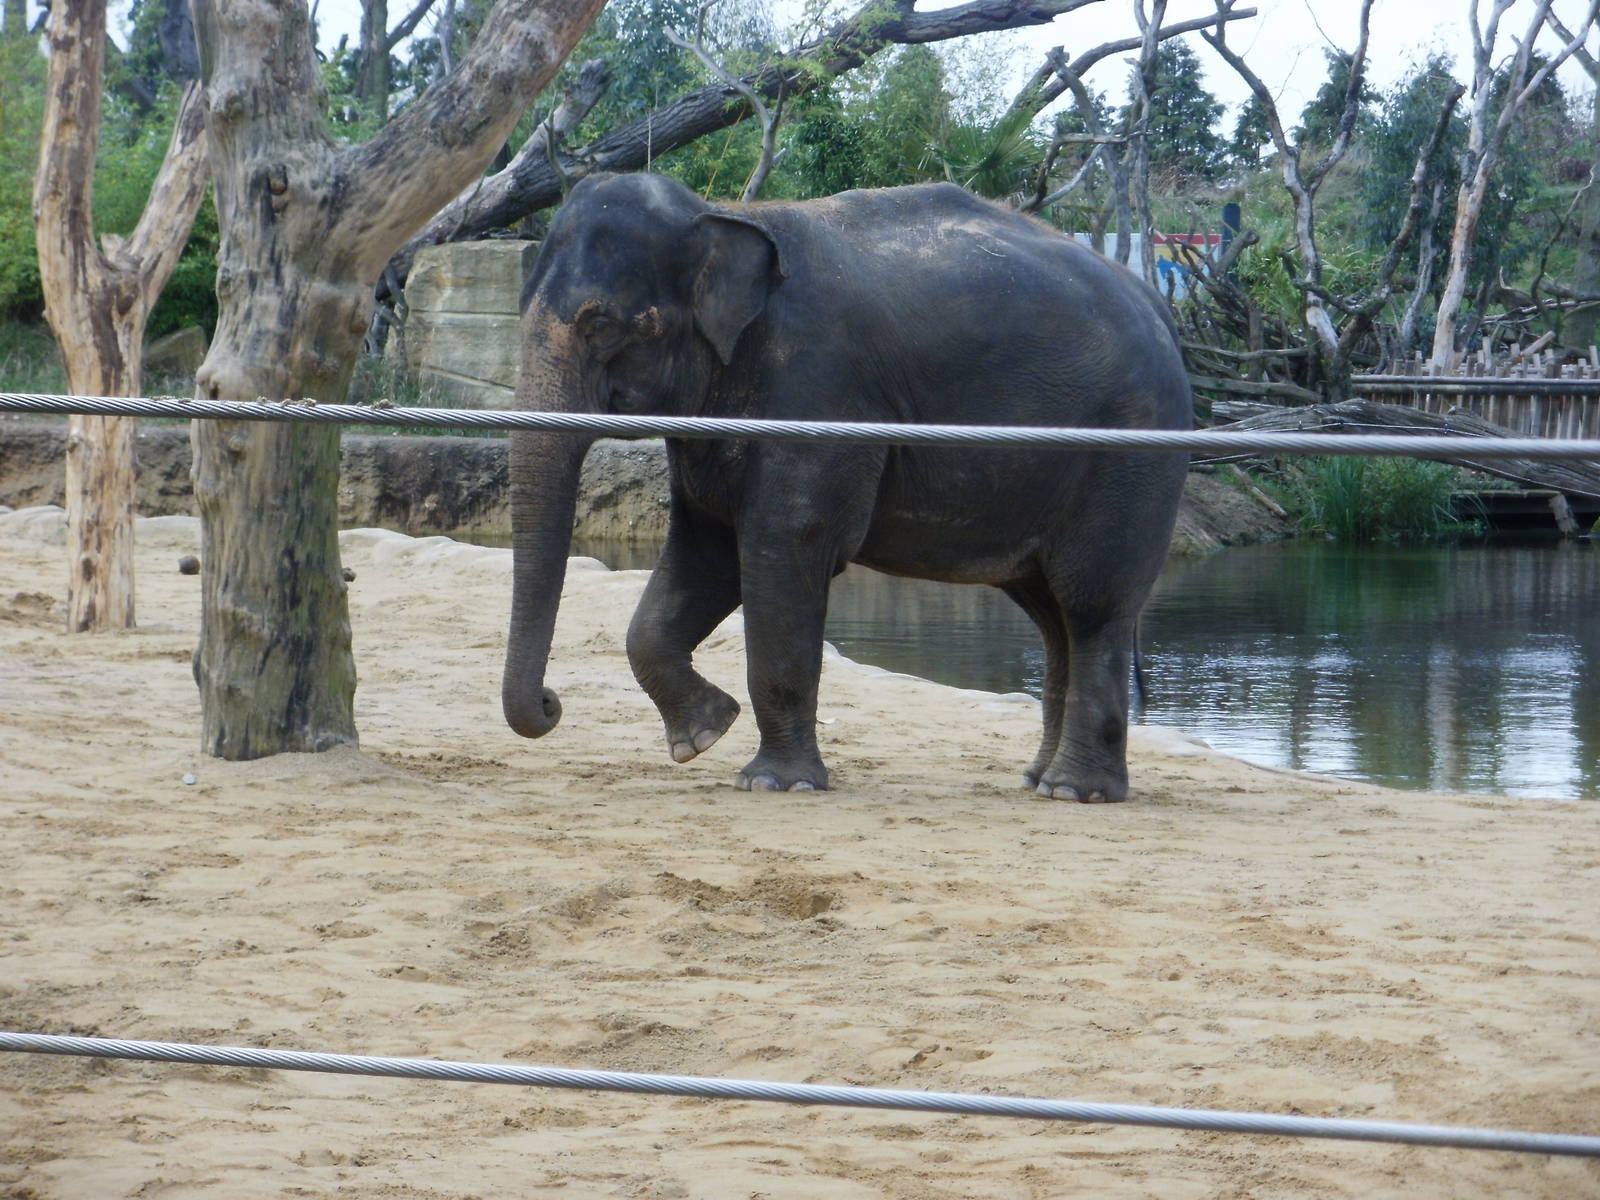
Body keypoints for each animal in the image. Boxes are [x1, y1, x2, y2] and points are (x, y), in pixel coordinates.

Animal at [502, 172, 1191, 802]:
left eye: (599, 325)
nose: (552, 701)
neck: (723, 213)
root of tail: (1159, 307)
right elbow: (704, 556)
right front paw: (705, 734)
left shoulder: (817, 391)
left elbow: (784, 548)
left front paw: (773, 783)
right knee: (1051, 613)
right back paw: (1039, 780)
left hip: (1129, 452)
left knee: (1091, 602)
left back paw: (1076, 791)